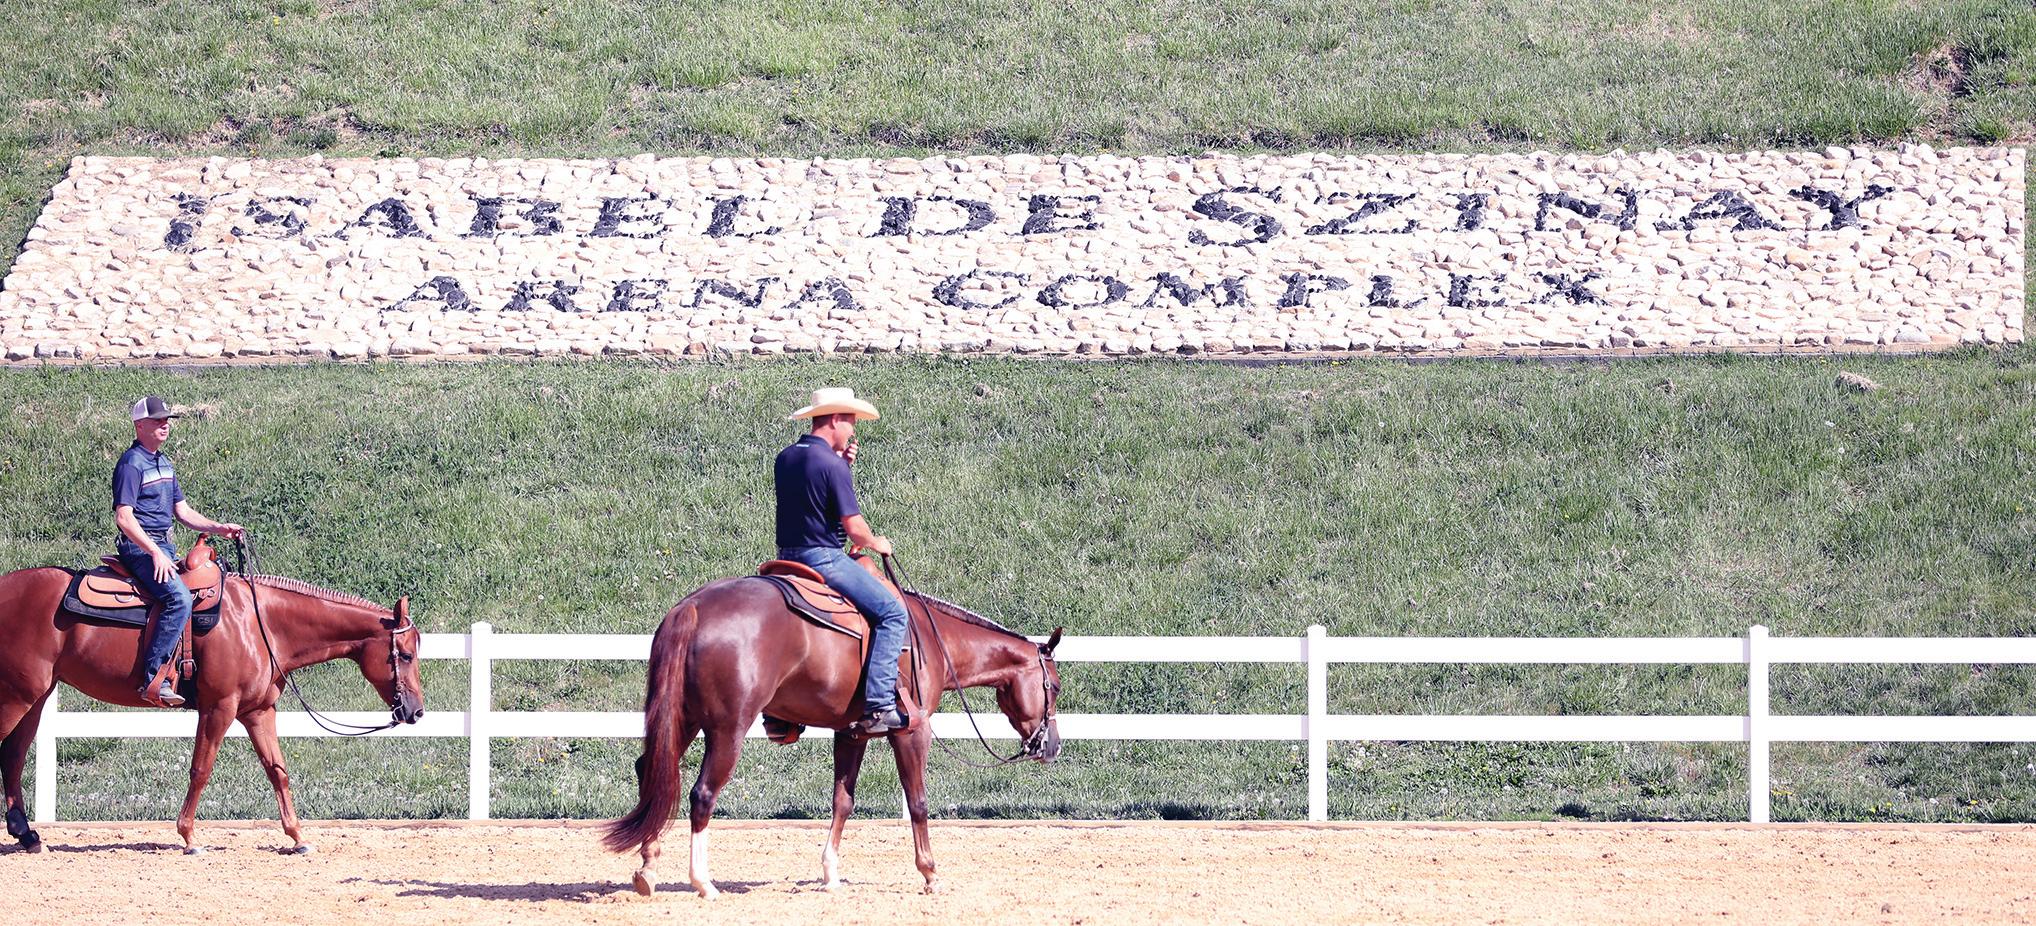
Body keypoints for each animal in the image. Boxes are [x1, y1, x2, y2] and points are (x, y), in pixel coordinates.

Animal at [0, 557, 424, 854]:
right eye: (404, 655)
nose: (416, 711)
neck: (260, 624)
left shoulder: (258, 712)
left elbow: (277, 771)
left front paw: (297, 836)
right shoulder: (219, 708)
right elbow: (200, 770)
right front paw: (188, 837)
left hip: (36, 697)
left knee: (14, 755)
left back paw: (27, 835)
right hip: (18, 696)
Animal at [603, 560, 1063, 897]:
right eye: (1055, 686)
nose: (1052, 746)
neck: (932, 641)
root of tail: (693, 607)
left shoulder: (852, 733)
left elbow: (843, 801)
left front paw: (830, 875)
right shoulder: (912, 732)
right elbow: (917, 802)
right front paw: (930, 873)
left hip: (681, 721)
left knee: (653, 774)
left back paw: (648, 867)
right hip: (726, 731)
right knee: (701, 794)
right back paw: (703, 882)